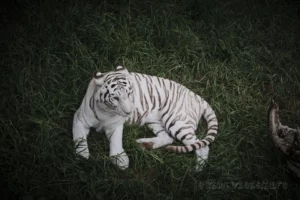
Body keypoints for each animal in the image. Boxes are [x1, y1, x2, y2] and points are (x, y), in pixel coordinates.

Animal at [72, 65, 218, 170]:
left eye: (130, 93)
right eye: (115, 98)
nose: (128, 112)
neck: (106, 110)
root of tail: (197, 97)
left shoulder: (116, 125)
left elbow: (116, 141)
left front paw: (120, 160)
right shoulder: (79, 119)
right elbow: (80, 138)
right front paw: (83, 155)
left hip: (176, 121)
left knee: (202, 146)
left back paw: (196, 171)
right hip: (155, 121)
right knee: (168, 138)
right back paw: (145, 144)